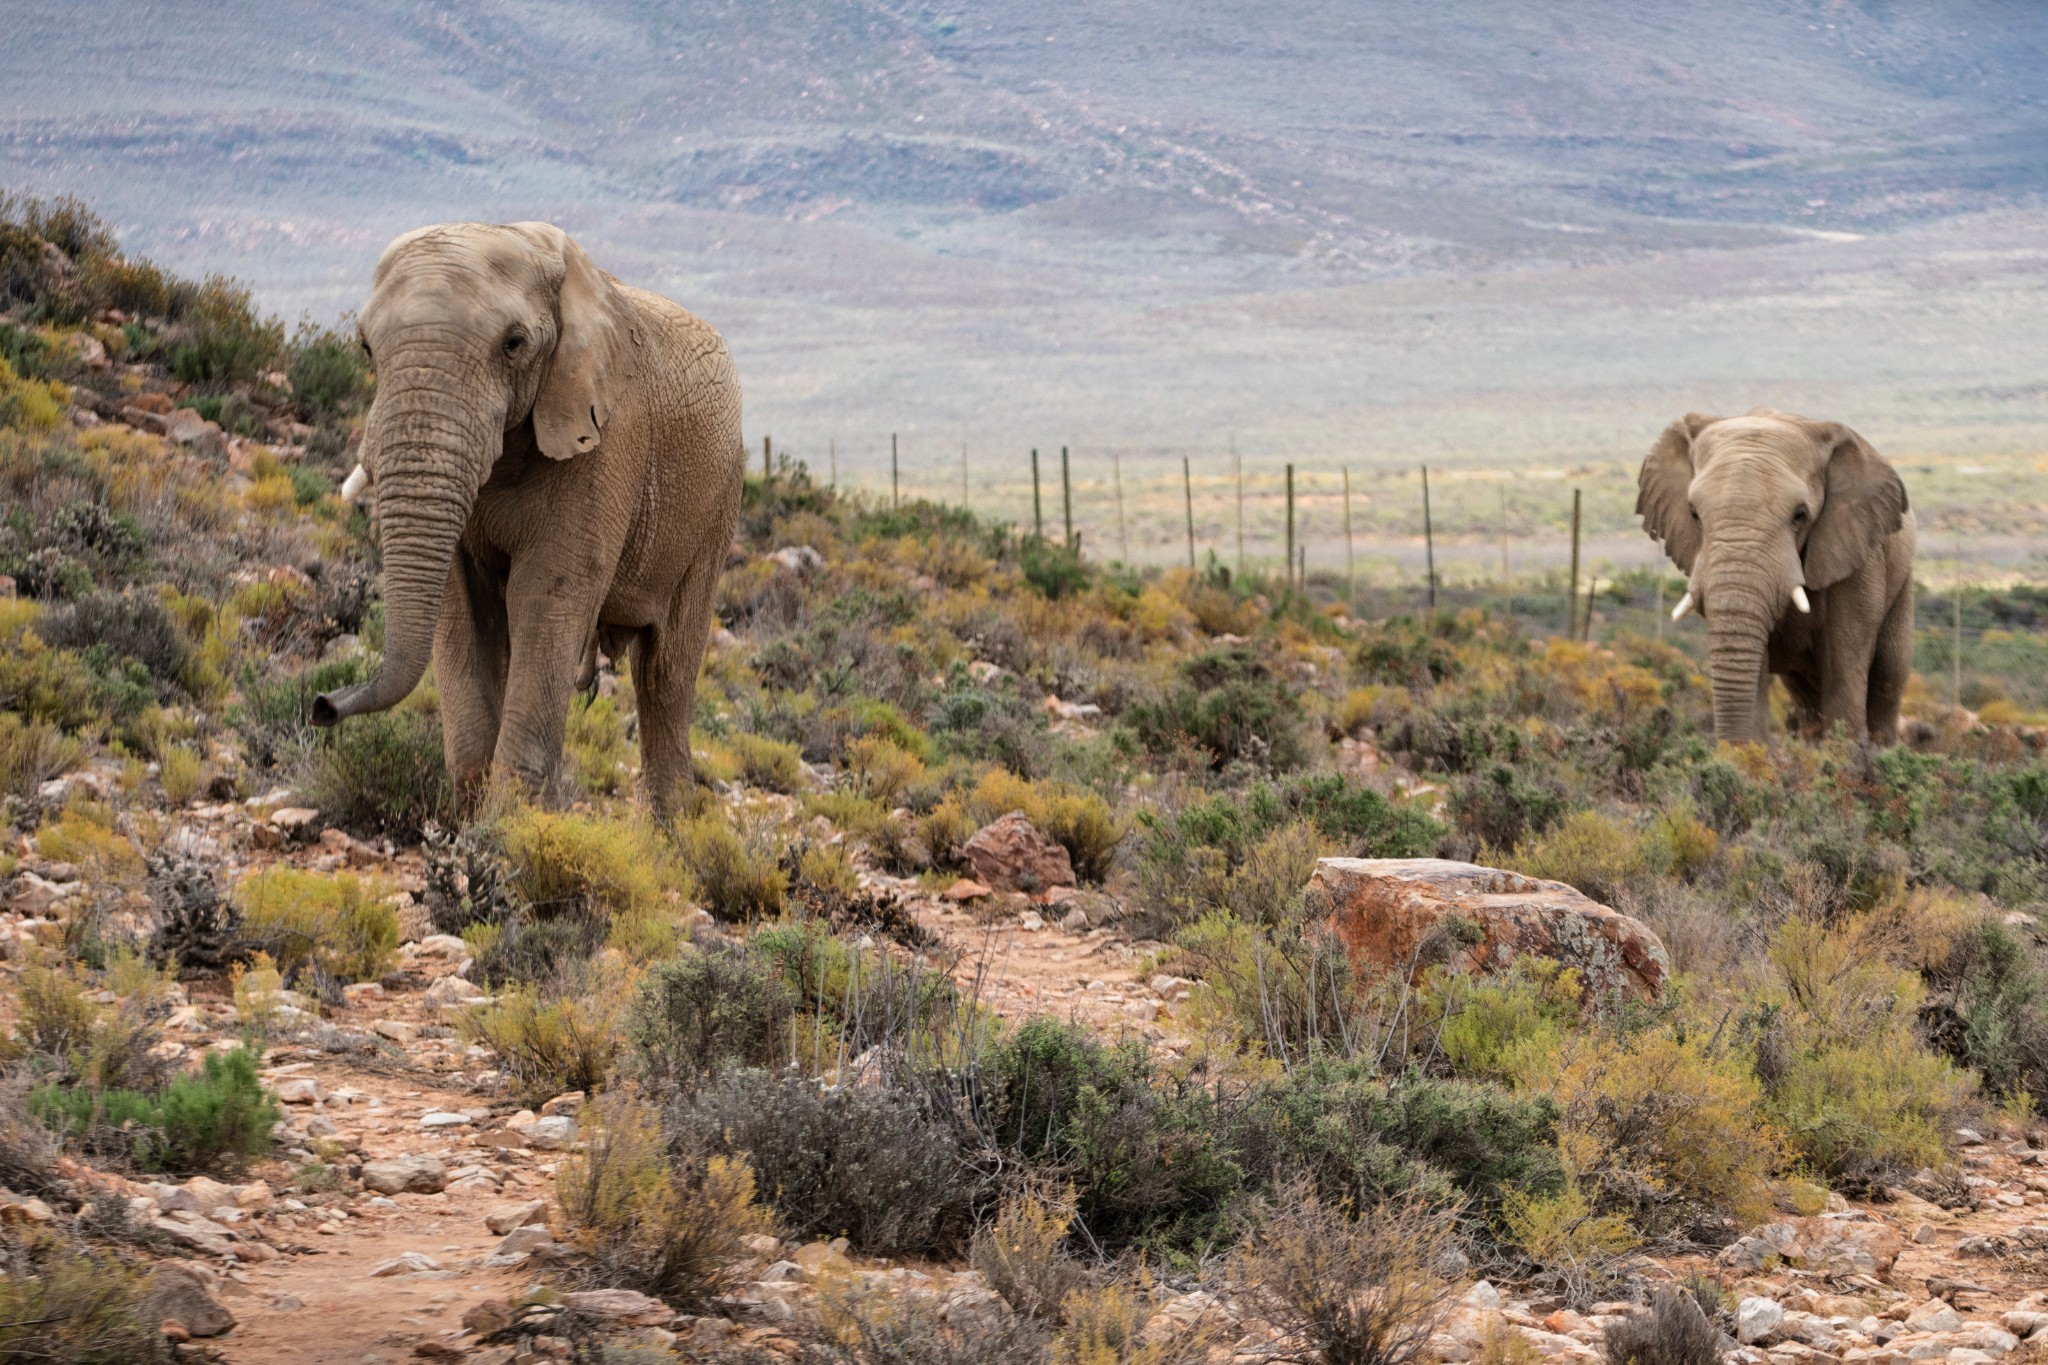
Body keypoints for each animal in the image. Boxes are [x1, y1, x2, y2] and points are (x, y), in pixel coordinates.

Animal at [307, 222, 741, 810]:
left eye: (513, 345)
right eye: (365, 347)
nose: (321, 705)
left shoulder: (606, 438)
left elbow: (546, 595)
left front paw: (512, 822)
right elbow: (462, 605)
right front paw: (474, 818)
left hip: (719, 502)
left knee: (665, 672)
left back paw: (675, 831)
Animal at [1638, 409, 1908, 749]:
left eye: (1800, 515)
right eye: (1694, 513)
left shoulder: (1859, 554)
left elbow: (1843, 666)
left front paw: (1846, 758)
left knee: (1887, 676)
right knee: (1804, 691)